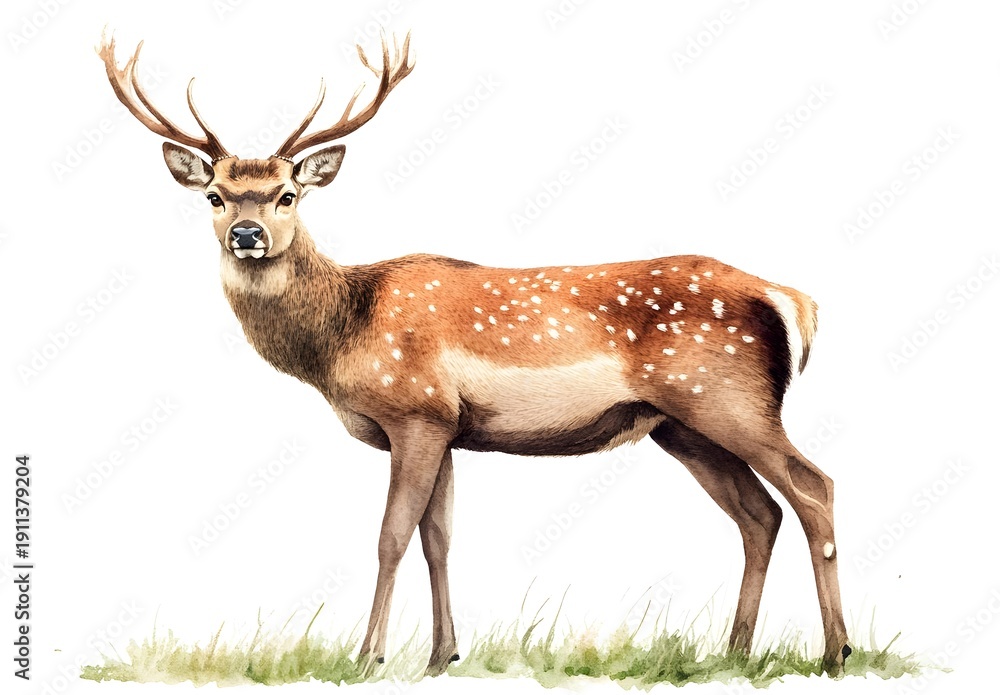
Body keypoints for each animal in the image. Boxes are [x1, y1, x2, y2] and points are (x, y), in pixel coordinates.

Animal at [98, 31, 852, 677]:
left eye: (287, 194)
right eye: (215, 195)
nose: (248, 233)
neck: (345, 333)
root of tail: (792, 299)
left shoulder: (417, 412)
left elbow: (391, 534)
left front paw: (366, 656)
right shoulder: (449, 427)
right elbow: (439, 536)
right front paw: (442, 655)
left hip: (729, 399)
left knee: (813, 485)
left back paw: (835, 651)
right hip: (682, 426)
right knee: (759, 515)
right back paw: (734, 651)